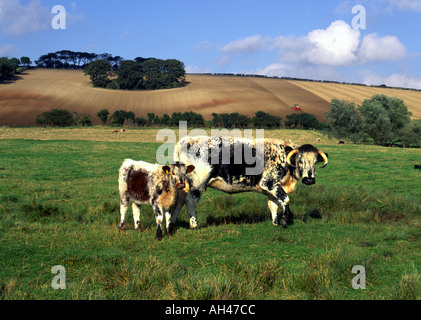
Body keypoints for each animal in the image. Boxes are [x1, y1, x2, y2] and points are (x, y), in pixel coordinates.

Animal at [169, 136, 326, 229]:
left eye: (315, 162)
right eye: (300, 160)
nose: (310, 179)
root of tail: (187, 140)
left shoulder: (271, 189)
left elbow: (273, 205)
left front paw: (275, 222)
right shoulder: (270, 183)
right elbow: (285, 200)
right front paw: (285, 220)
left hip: (185, 184)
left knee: (180, 200)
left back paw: (173, 222)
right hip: (198, 183)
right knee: (190, 200)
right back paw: (194, 224)